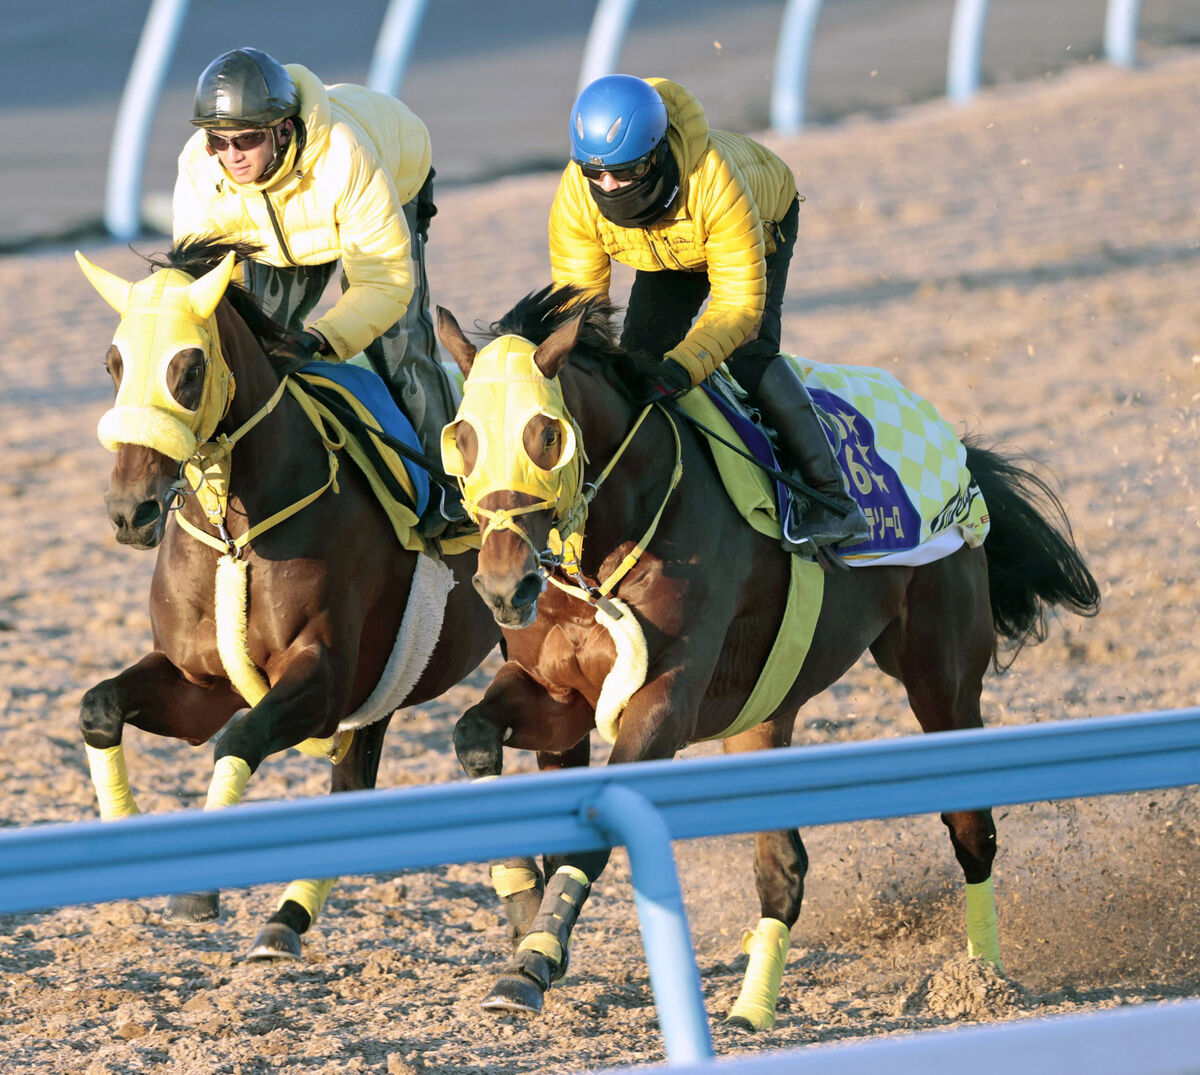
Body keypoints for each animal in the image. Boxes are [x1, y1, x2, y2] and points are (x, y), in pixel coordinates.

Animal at [73, 241, 496, 959]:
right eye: (113, 362)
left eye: (188, 368)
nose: (130, 511)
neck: (234, 536)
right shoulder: (198, 682)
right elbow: (100, 706)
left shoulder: (322, 678)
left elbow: (241, 736)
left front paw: (197, 887)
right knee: (353, 783)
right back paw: (287, 918)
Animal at [436, 285, 1099, 1027]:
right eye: (461, 439)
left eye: (547, 436)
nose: (504, 585)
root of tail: (958, 455)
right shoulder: (558, 695)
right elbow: (473, 734)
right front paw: (524, 908)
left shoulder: (664, 699)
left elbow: (594, 831)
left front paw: (531, 962)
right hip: (763, 715)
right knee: (783, 868)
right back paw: (752, 1006)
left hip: (941, 675)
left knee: (971, 826)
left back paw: (983, 980)